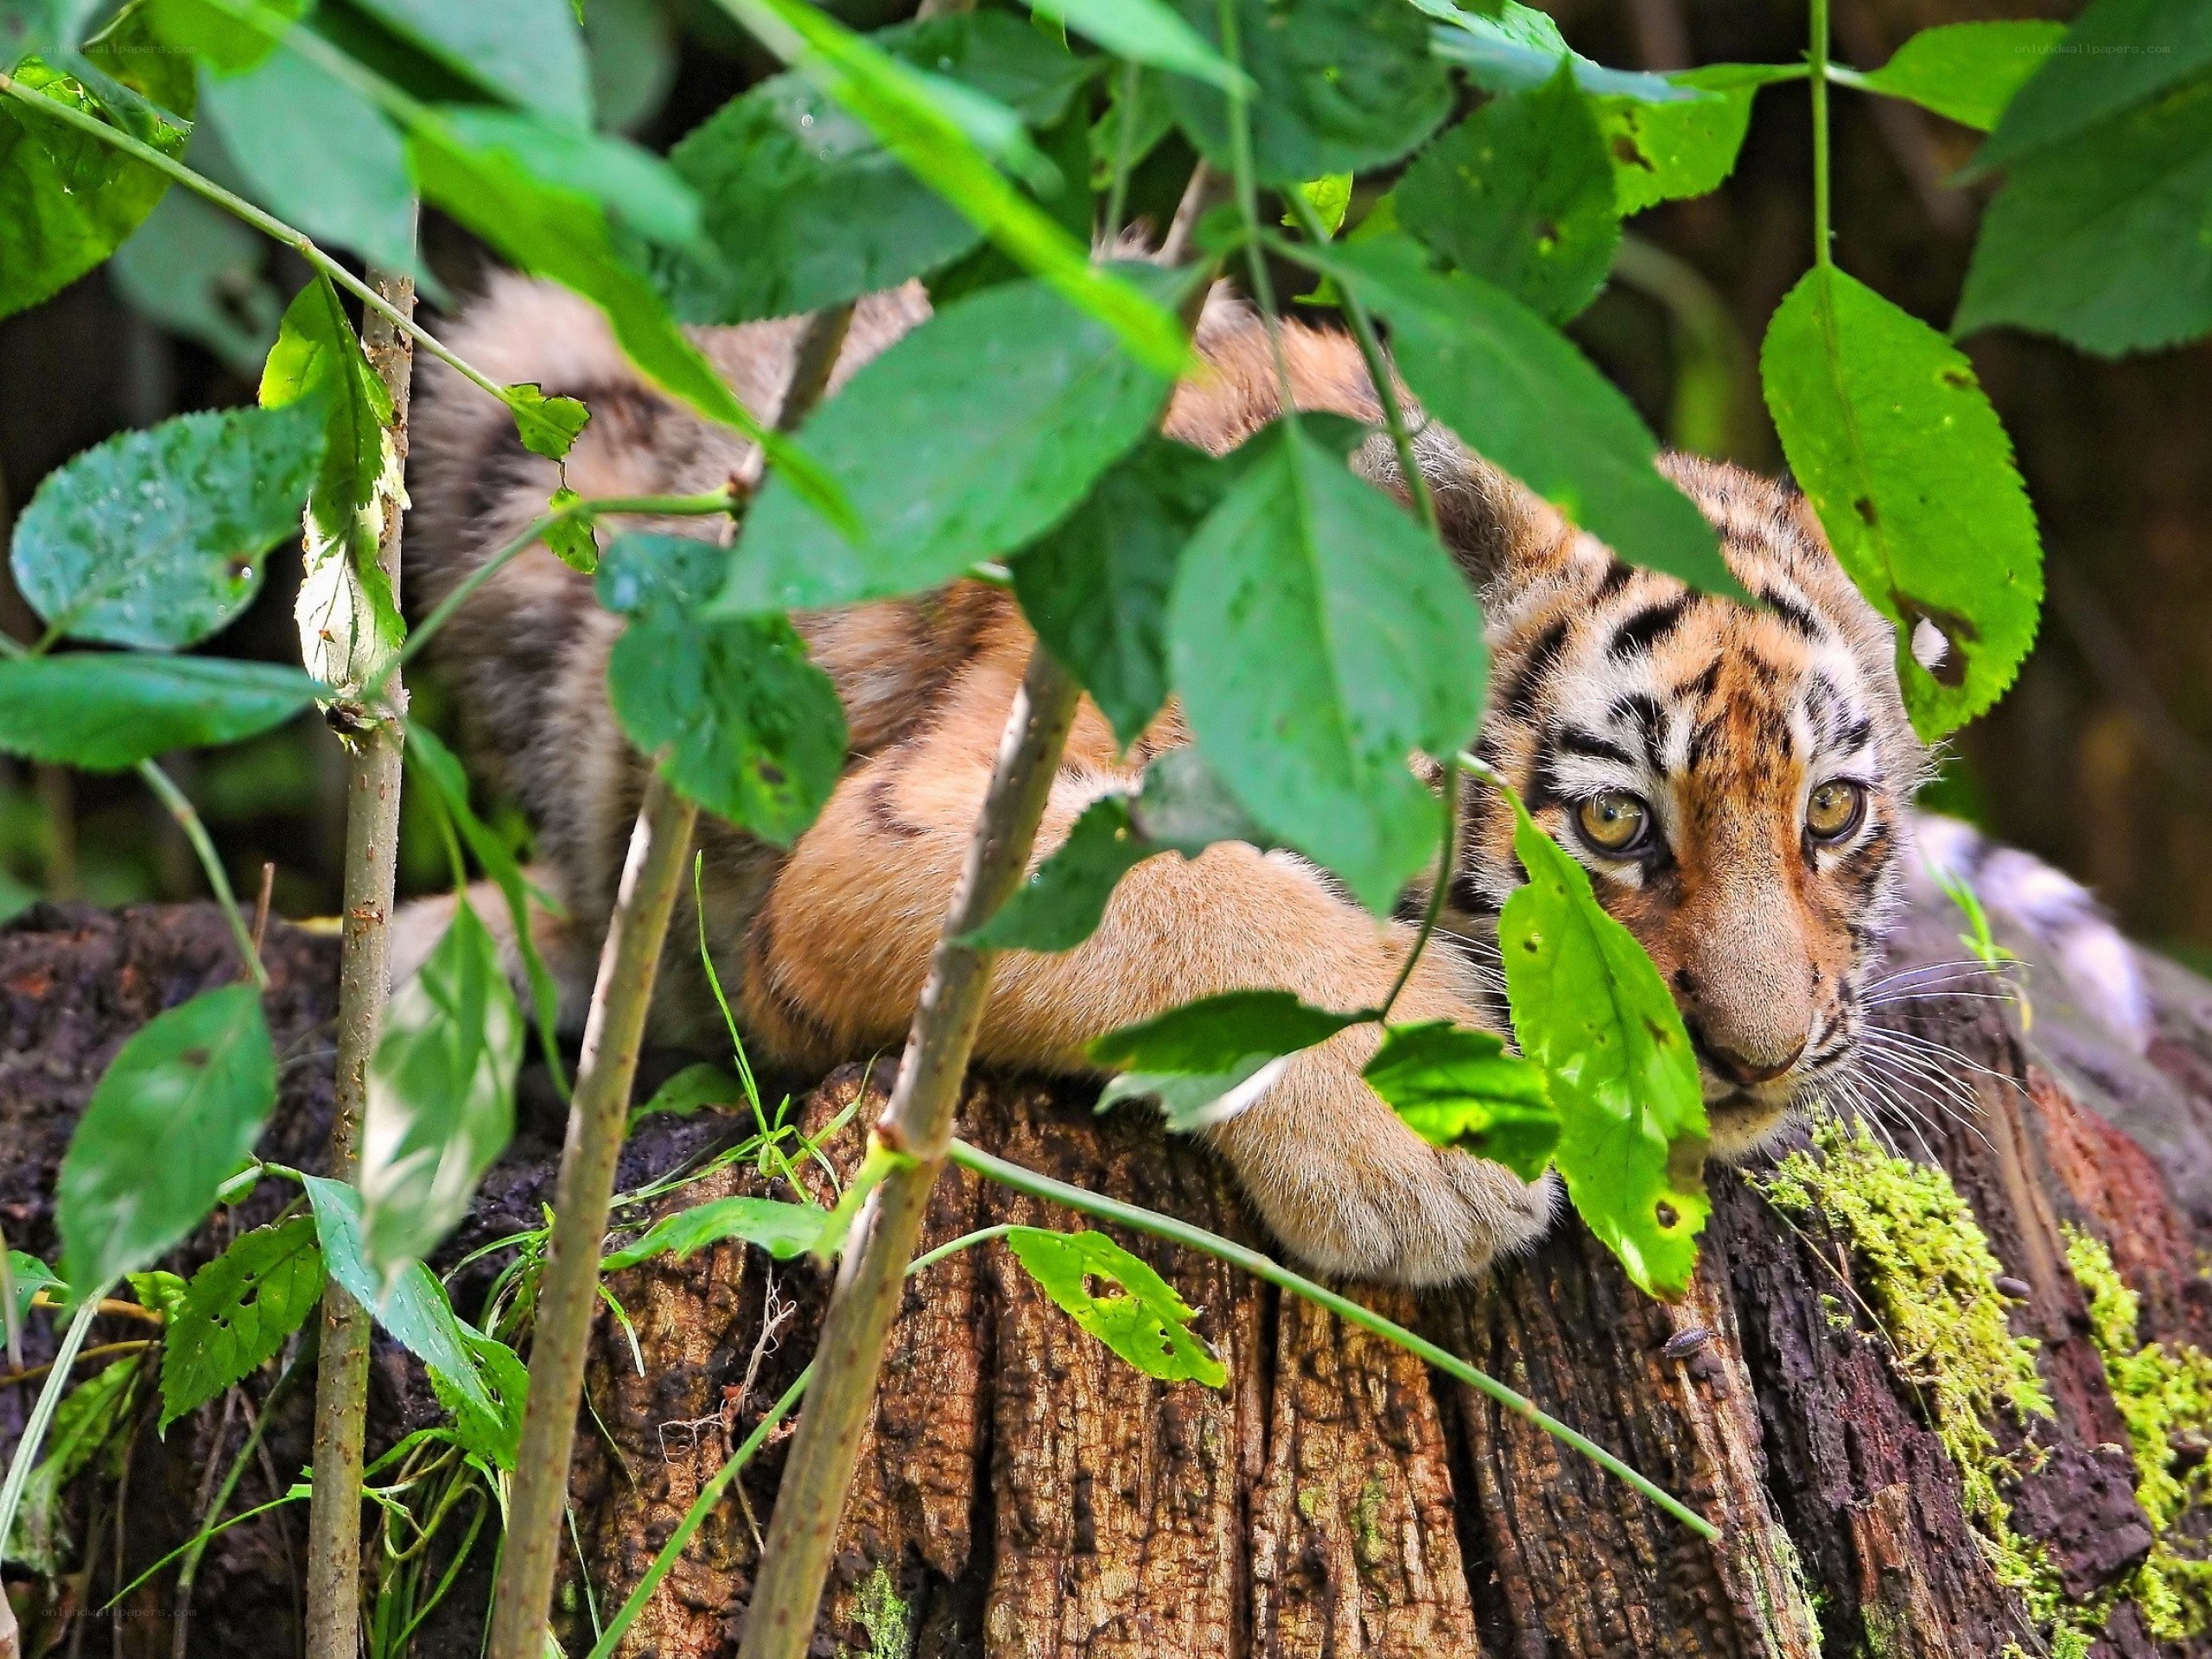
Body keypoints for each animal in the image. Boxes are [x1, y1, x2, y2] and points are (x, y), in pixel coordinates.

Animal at [398, 270, 2133, 1287]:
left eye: (1830, 812)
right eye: (1615, 822)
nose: (1759, 1060)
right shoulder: (913, 827)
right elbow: (1177, 900)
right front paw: (1424, 1144)